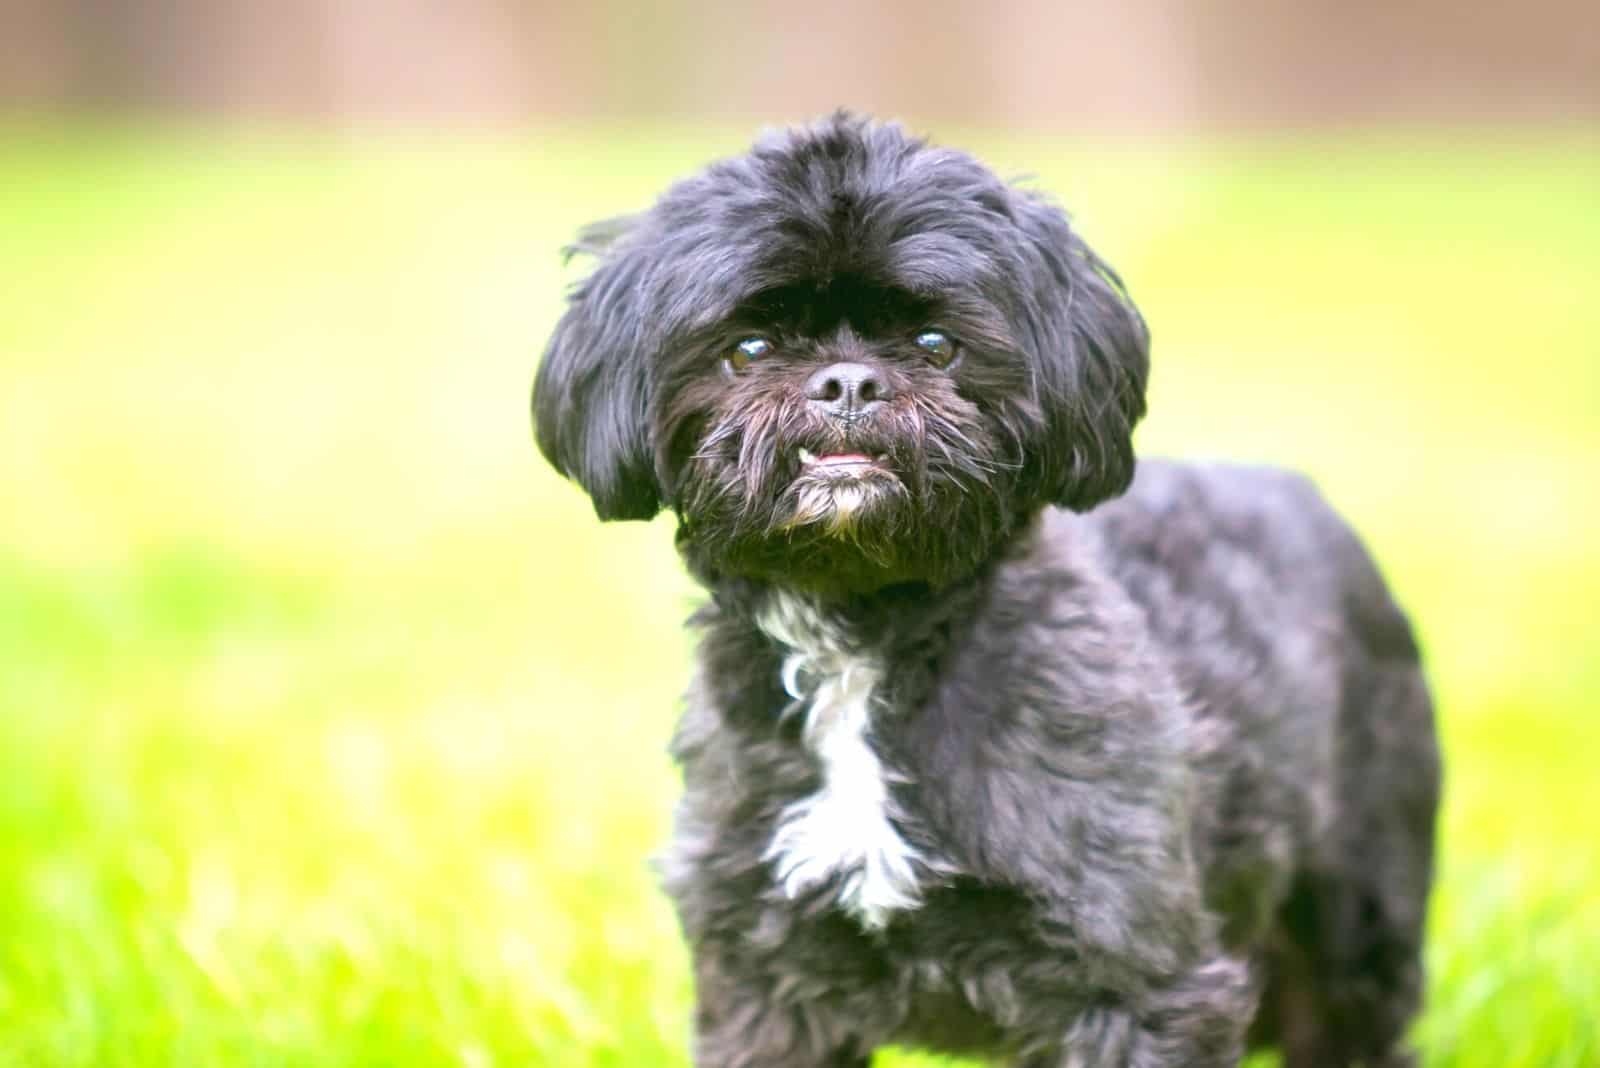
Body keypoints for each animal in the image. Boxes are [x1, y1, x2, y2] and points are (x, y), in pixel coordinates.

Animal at [531, 115, 1446, 1068]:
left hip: (1356, 915)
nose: (849, 381)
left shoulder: (1134, 977)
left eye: (938, 345)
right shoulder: (766, 972)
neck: (865, 643)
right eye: (748, 349)